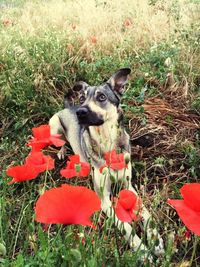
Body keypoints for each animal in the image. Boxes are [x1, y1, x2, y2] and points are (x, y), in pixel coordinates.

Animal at [48, 68, 164, 260]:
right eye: (82, 98)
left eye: (101, 97)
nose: (80, 111)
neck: (107, 140)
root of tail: (68, 107)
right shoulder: (104, 200)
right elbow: (126, 226)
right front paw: (141, 249)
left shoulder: (128, 185)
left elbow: (146, 212)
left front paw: (155, 240)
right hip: (54, 126)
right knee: (60, 141)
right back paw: (62, 151)